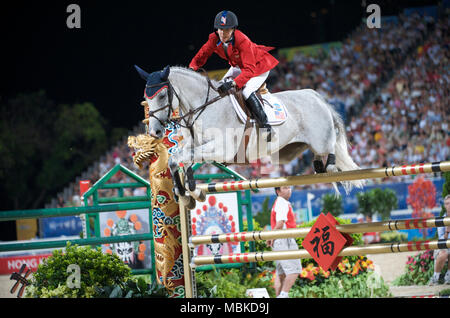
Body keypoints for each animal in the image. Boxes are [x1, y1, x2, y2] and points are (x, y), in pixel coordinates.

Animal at [134, 64, 366, 198]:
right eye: (146, 97)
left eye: (162, 96)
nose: (155, 132)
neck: (203, 107)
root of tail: (316, 96)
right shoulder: (194, 144)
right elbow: (178, 157)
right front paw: (184, 188)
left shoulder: (222, 149)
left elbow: (179, 157)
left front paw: (183, 191)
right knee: (319, 155)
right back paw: (319, 166)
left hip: (321, 138)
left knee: (331, 148)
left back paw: (330, 167)